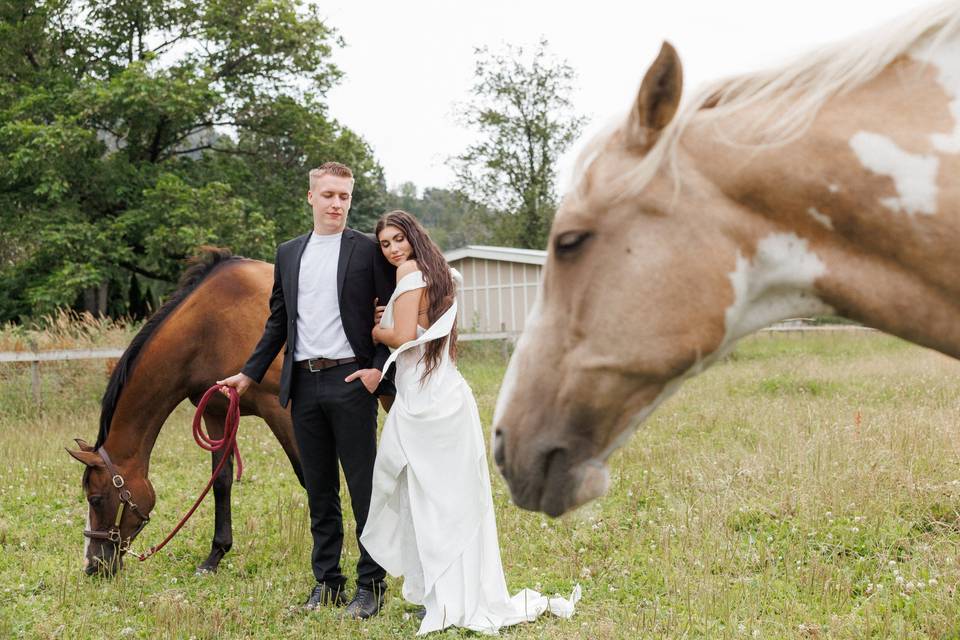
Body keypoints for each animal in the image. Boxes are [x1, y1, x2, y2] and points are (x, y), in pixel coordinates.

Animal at [68, 250, 300, 576]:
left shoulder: (281, 410)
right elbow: (221, 482)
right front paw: (215, 556)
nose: (92, 565)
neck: (211, 326)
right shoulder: (216, 413)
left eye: (96, 499)